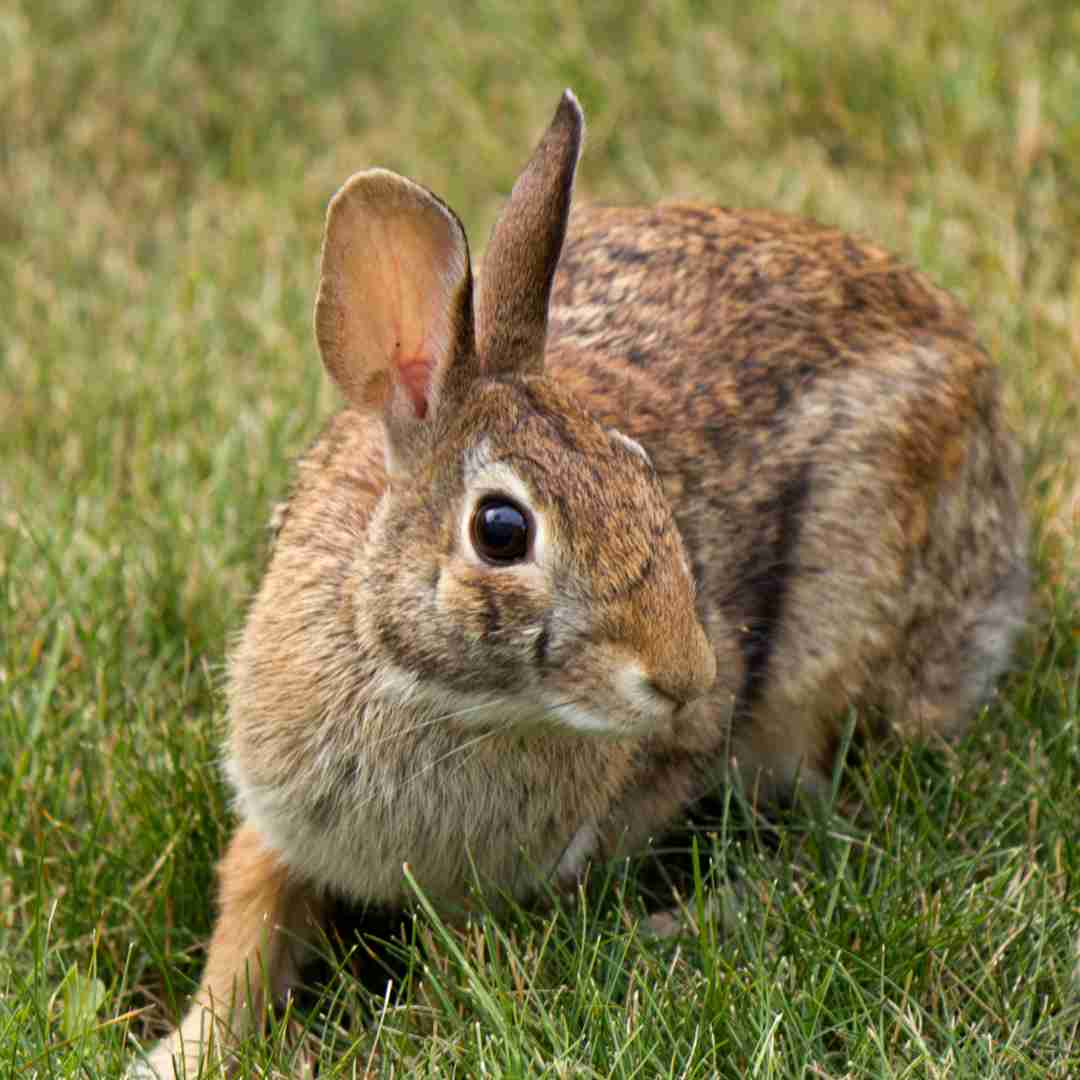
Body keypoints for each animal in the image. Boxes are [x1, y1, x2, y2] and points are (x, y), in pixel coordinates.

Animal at [128, 88, 1028, 1075]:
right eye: (501, 530)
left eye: (641, 471)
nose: (687, 680)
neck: (432, 692)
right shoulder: (276, 821)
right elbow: (247, 927)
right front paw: (180, 1051)